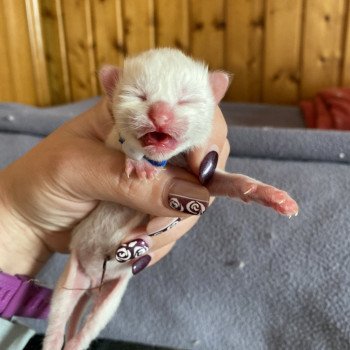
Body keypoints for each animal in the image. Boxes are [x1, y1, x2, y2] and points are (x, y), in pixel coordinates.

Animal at [42, 48, 296, 350]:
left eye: (186, 99)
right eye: (138, 95)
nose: (160, 115)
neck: (166, 161)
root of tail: (92, 281)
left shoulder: (200, 173)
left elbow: (225, 181)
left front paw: (271, 195)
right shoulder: (109, 141)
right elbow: (122, 144)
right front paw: (138, 163)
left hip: (112, 293)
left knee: (91, 325)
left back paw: (75, 341)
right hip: (70, 277)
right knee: (59, 317)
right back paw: (56, 340)